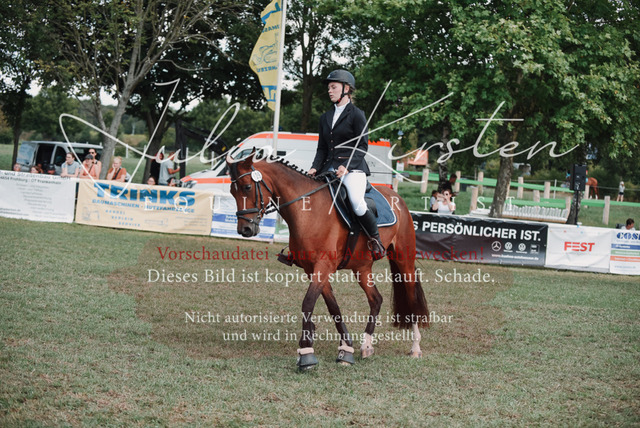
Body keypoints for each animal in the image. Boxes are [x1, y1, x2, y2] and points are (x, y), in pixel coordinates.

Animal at [226, 151, 429, 370]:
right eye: (231, 191)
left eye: (247, 187)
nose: (245, 230)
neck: (309, 210)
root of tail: (398, 198)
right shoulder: (312, 269)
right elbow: (333, 308)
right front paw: (345, 349)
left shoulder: (324, 266)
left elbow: (308, 303)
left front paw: (306, 354)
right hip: (362, 267)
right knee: (376, 299)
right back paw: (366, 346)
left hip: (404, 261)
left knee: (411, 298)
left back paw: (415, 348)